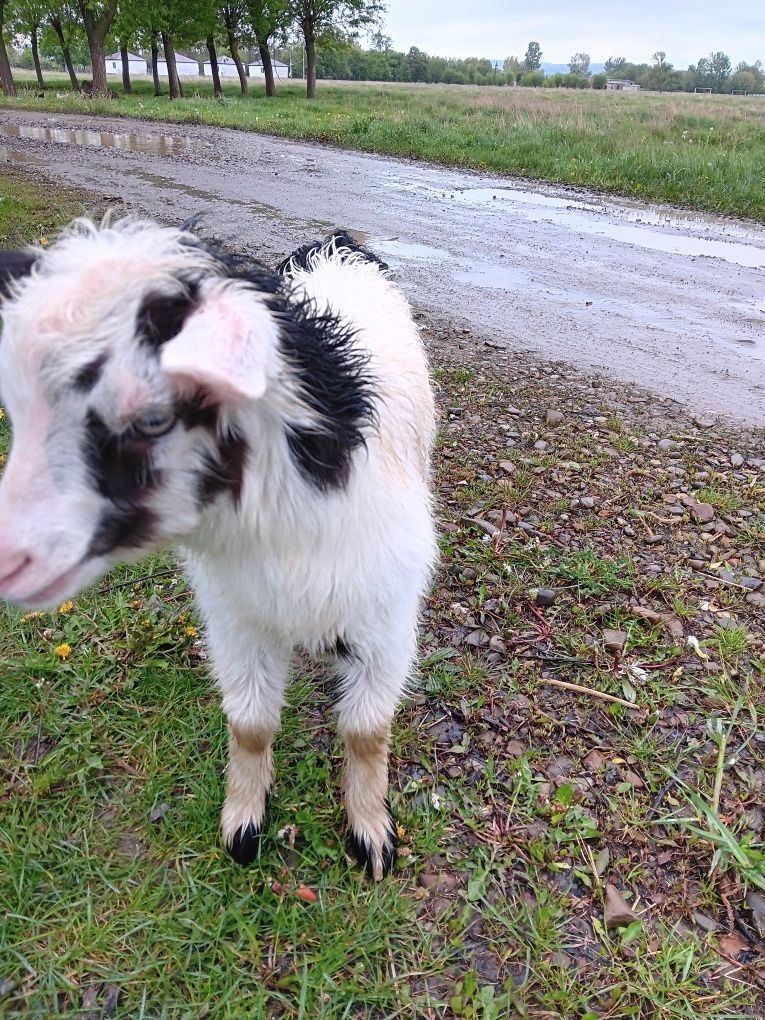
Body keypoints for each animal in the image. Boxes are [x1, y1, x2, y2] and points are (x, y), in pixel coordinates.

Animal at [0, 219, 436, 881]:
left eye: (152, 417)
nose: (8, 559)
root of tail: (335, 242)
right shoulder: (236, 619)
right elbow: (251, 725)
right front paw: (243, 826)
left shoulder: (384, 624)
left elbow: (366, 731)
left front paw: (371, 836)